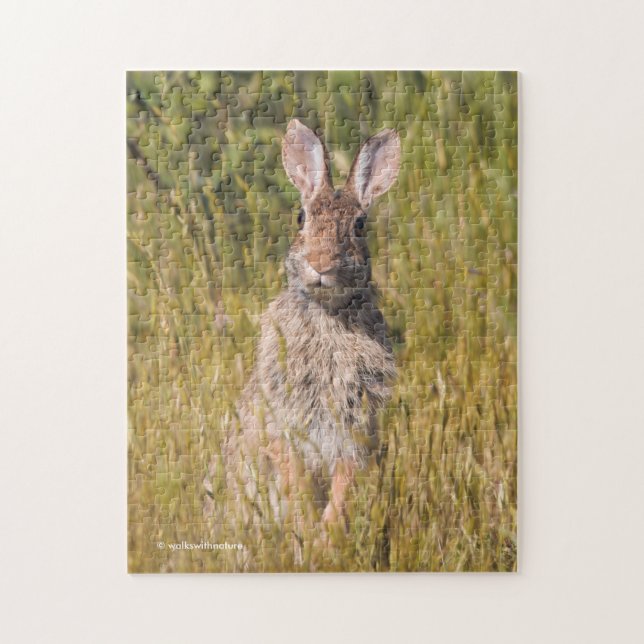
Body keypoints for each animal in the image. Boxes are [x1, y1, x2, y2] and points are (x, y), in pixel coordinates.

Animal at [204, 119, 401, 533]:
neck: (328, 312)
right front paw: (309, 532)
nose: (320, 263)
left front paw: (327, 534)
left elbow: (343, 485)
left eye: (359, 225)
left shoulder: (355, 430)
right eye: (301, 218)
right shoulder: (283, 424)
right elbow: (294, 477)